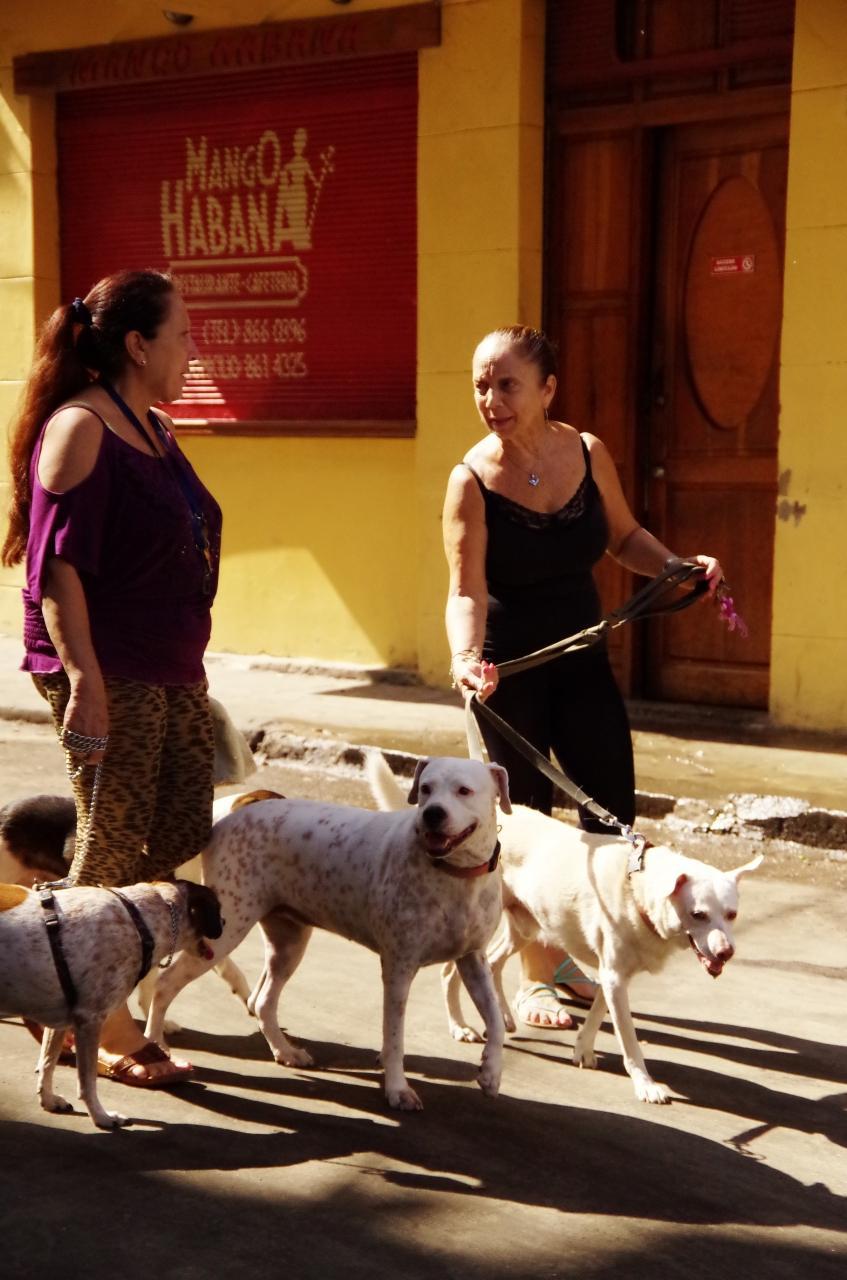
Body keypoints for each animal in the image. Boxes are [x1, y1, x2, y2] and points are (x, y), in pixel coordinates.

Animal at [0, 879, 223, 1129]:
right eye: (218, 910)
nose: (224, 922)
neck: (140, 921)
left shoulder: (59, 1023)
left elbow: (48, 1063)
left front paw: (49, 1099)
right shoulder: (89, 1020)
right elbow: (87, 1082)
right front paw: (101, 1116)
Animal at [144, 756, 511, 1111]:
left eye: (464, 790)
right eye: (425, 788)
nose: (432, 814)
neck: (457, 875)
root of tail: (229, 813)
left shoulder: (473, 960)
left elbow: (495, 1021)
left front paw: (491, 1073)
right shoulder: (398, 969)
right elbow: (394, 1037)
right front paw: (397, 1089)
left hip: (289, 944)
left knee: (262, 1001)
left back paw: (285, 1051)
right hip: (227, 930)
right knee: (164, 985)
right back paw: (157, 1045)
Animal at [367, 752, 762, 1105]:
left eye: (731, 915)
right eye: (698, 914)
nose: (726, 953)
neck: (637, 885)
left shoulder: (612, 975)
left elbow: (599, 1013)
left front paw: (583, 1049)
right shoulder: (615, 976)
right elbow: (630, 1040)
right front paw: (646, 1085)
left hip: (522, 928)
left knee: (493, 964)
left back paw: (501, 1017)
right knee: (452, 972)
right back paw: (460, 1026)